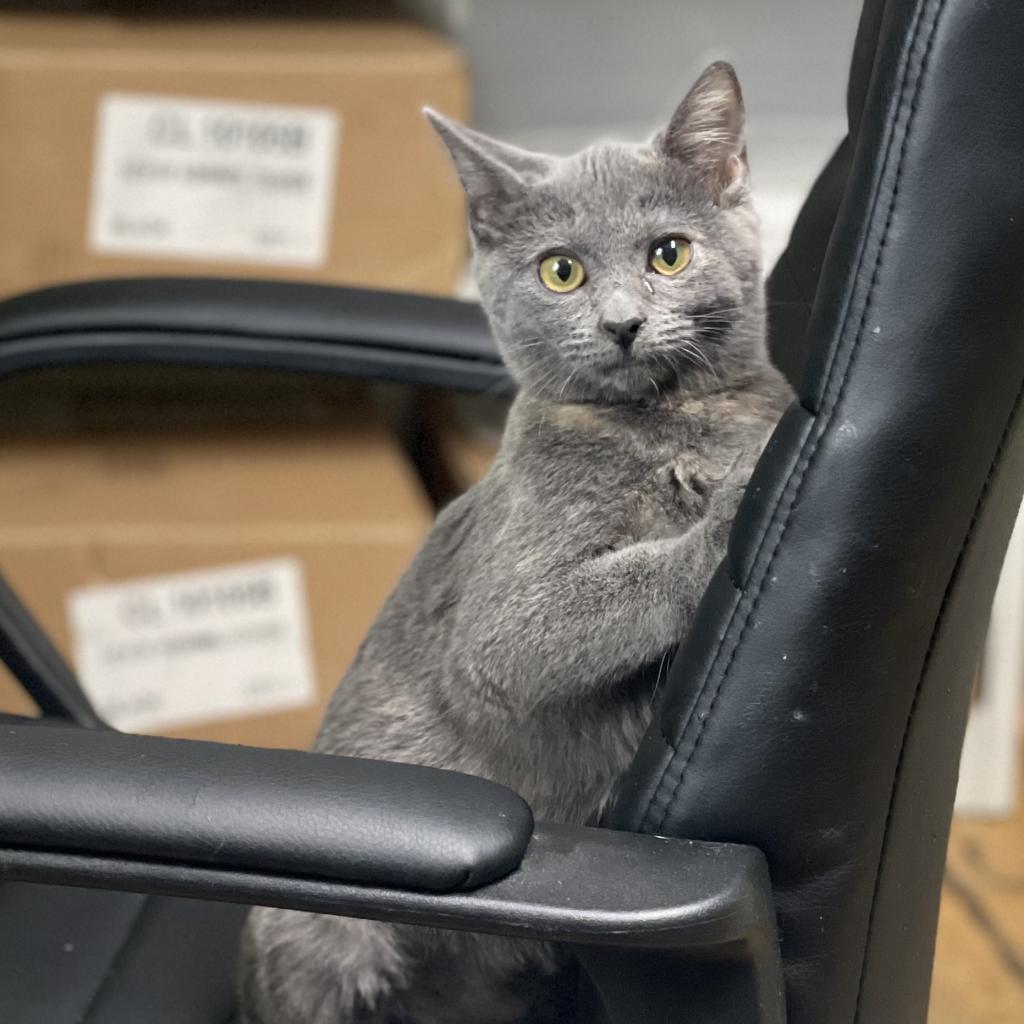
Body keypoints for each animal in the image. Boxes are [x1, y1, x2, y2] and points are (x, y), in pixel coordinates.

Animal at [239, 64, 790, 1024]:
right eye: (561, 271)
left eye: (669, 253)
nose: (620, 323)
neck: (663, 421)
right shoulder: (503, 619)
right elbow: (580, 604)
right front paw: (726, 504)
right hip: (311, 940)